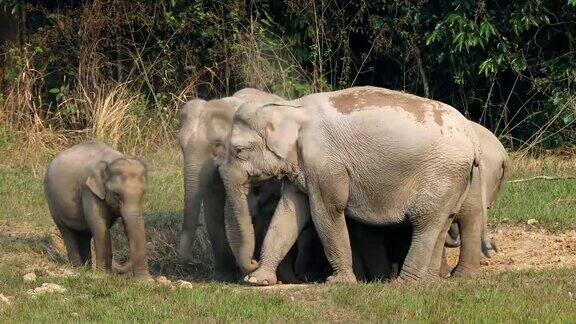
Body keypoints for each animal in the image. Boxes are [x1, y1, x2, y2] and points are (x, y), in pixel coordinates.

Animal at [44, 140, 151, 280]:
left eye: (143, 193)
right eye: (117, 194)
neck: (111, 160)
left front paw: (145, 281)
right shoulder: (89, 191)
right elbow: (100, 227)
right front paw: (104, 276)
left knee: (84, 235)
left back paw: (87, 269)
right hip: (52, 202)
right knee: (67, 232)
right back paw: (77, 268)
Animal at [218, 86, 484, 286]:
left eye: (239, 151)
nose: (250, 266)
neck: (290, 107)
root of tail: (471, 137)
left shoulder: (325, 161)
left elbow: (326, 211)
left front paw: (339, 282)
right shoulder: (302, 166)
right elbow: (288, 213)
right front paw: (258, 281)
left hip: (442, 172)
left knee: (425, 220)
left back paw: (404, 284)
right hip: (455, 178)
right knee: (444, 219)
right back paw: (428, 282)